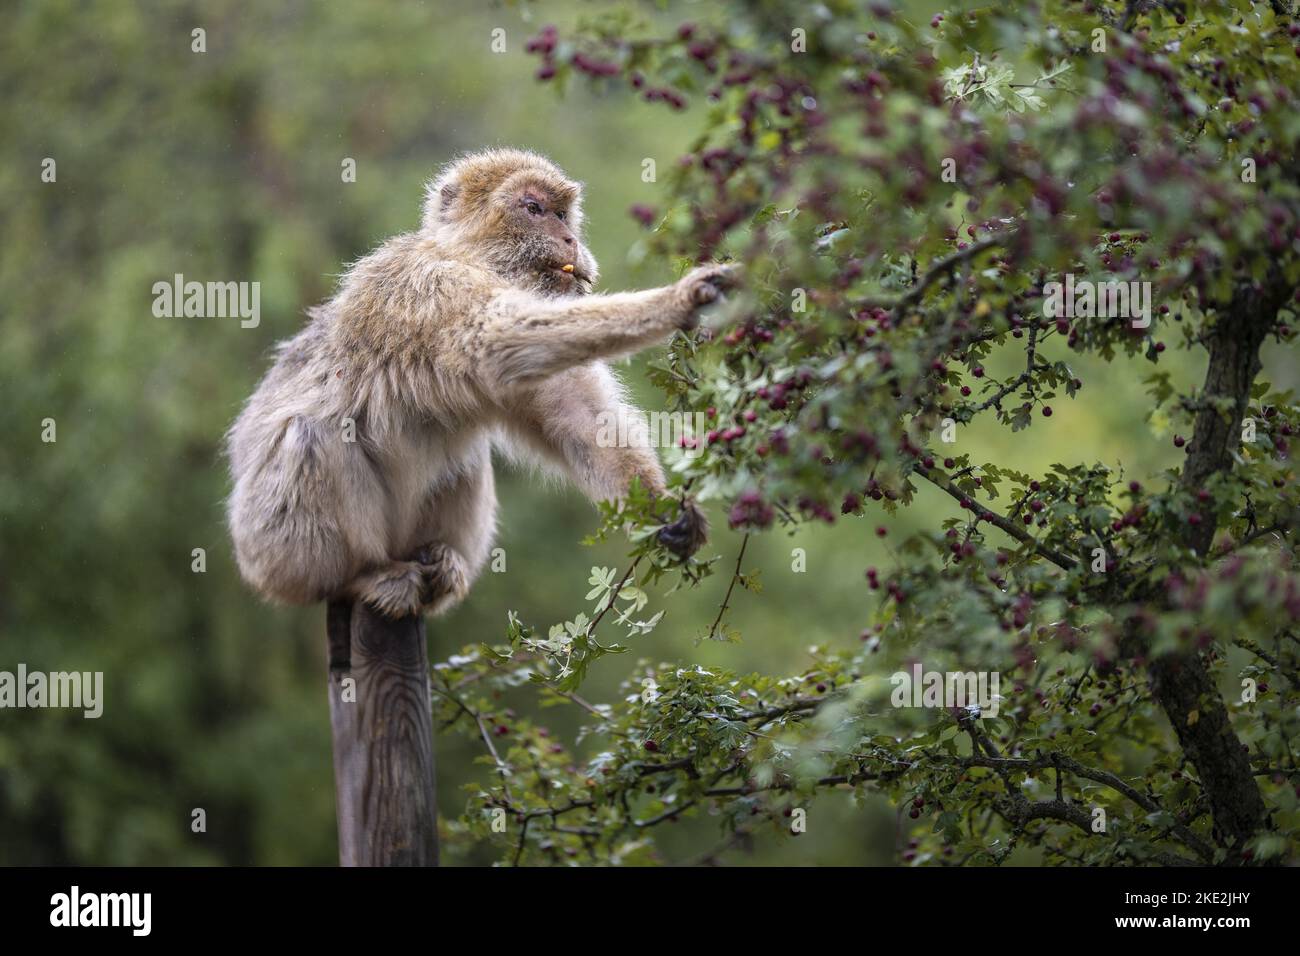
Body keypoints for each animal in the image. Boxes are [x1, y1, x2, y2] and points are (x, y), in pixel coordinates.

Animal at [226, 145, 733, 616]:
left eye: (562, 213)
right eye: (534, 209)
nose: (570, 238)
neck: (472, 260)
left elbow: (581, 419)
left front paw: (664, 512)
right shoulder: (421, 287)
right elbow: (493, 337)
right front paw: (677, 301)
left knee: (464, 457)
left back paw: (443, 565)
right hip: (270, 549)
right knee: (311, 436)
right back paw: (360, 576)